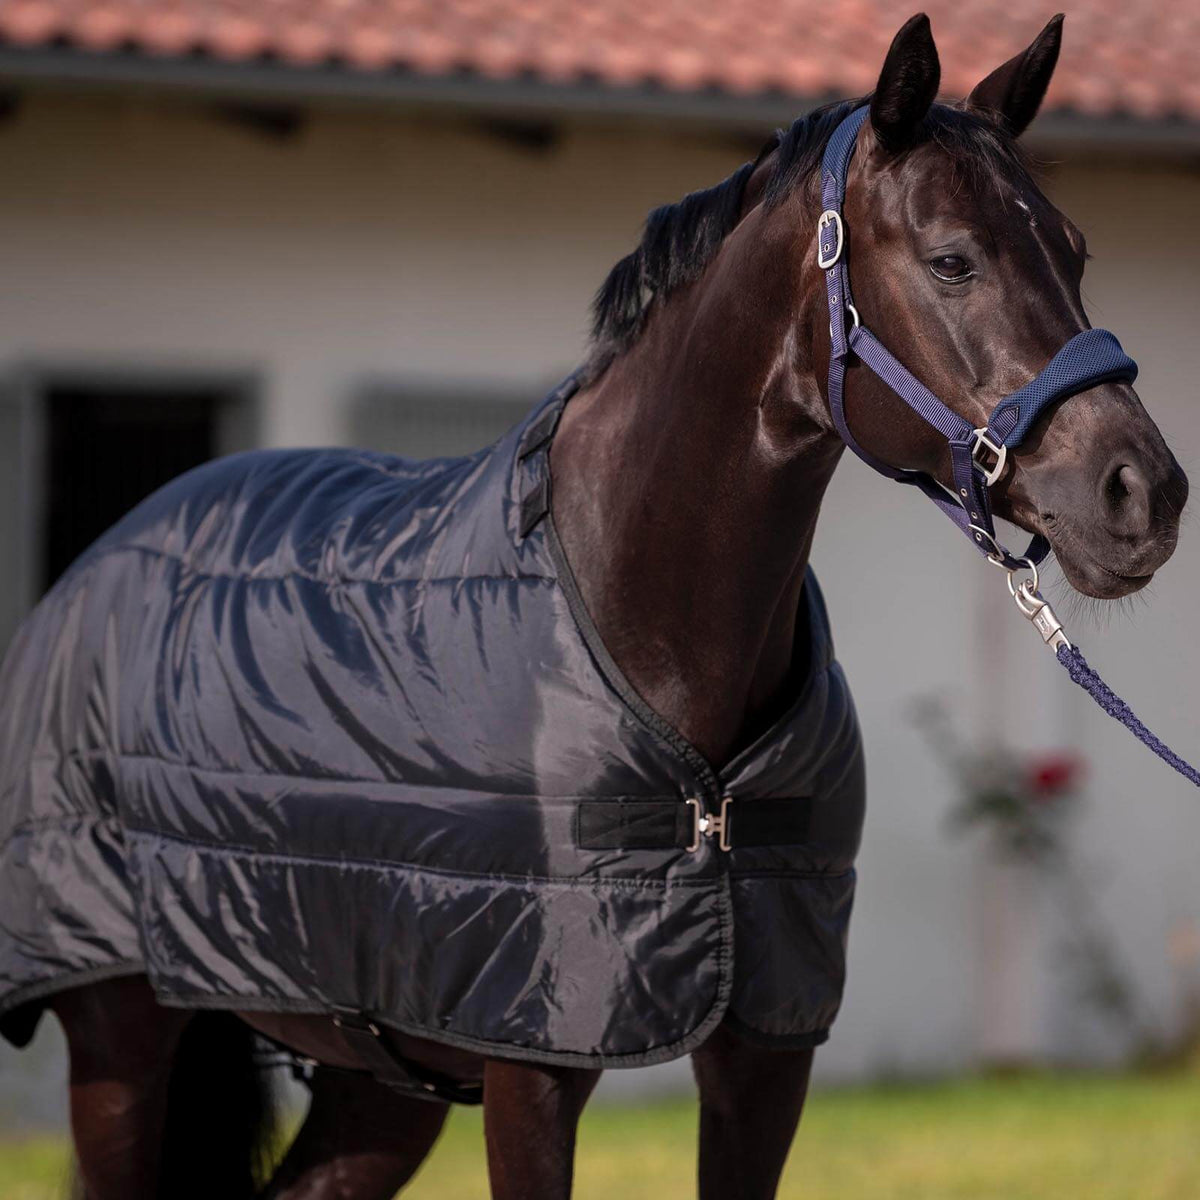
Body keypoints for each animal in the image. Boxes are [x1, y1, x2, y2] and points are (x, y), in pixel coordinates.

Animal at [0, 12, 1188, 1199]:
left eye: (1075, 251)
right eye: (951, 259)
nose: (1145, 493)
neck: (635, 609)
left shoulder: (765, 1053)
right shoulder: (534, 1066)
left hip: (377, 1075)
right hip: (120, 1039)